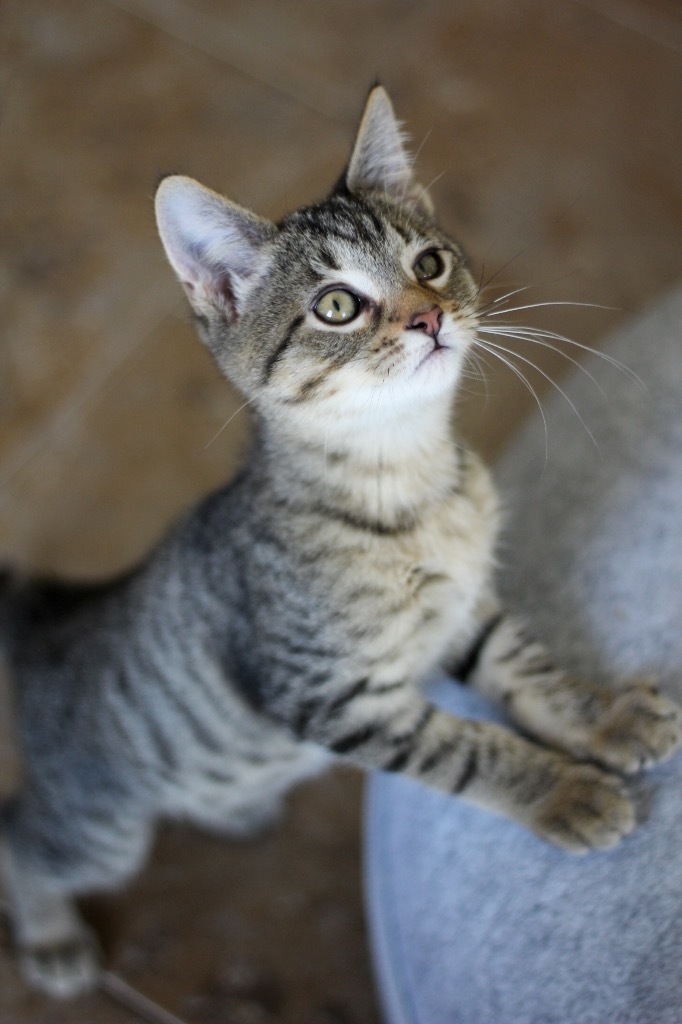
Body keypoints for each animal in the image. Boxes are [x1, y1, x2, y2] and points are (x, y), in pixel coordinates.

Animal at [1, 88, 679, 999]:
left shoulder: (465, 611)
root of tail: (57, 622)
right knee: (23, 840)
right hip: (101, 823)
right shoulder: (332, 695)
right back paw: (51, 938)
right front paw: (564, 793)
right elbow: (465, 749)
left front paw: (602, 718)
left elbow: (526, 667)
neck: (411, 486)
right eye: (336, 305)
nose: (429, 316)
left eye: (430, 262)